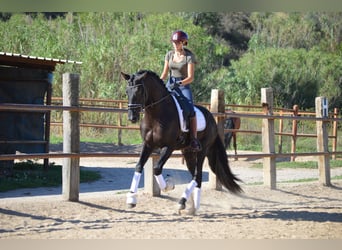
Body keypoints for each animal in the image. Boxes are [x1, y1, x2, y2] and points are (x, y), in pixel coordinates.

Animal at [121, 69, 242, 214]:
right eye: (127, 91)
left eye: (139, 91)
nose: (131, 117)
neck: (157, 115)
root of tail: (211, 118)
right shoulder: (148, 145)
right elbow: (139, 166)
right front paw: (131, 199)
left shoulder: (169, 147)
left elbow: (157, 168)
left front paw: (168, 185)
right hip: (188, 152)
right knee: (196, 176)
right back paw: (192, 206)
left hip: (202, 151)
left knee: (197, 175)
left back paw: (183, 202)